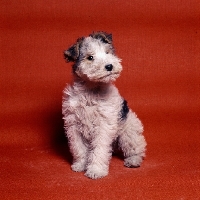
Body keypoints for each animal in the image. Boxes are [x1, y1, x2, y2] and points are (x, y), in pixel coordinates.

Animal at [61, 31, 146, 180]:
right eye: (90, 57)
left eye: (107, 52)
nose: (109, 66)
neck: (91, 91)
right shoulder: (74, 125)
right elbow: (79, 149)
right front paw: (80, 165)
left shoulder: (103, 126)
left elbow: (99, 150)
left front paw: (96, 170)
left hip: (129, 134)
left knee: (137, 149)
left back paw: (133, 161)